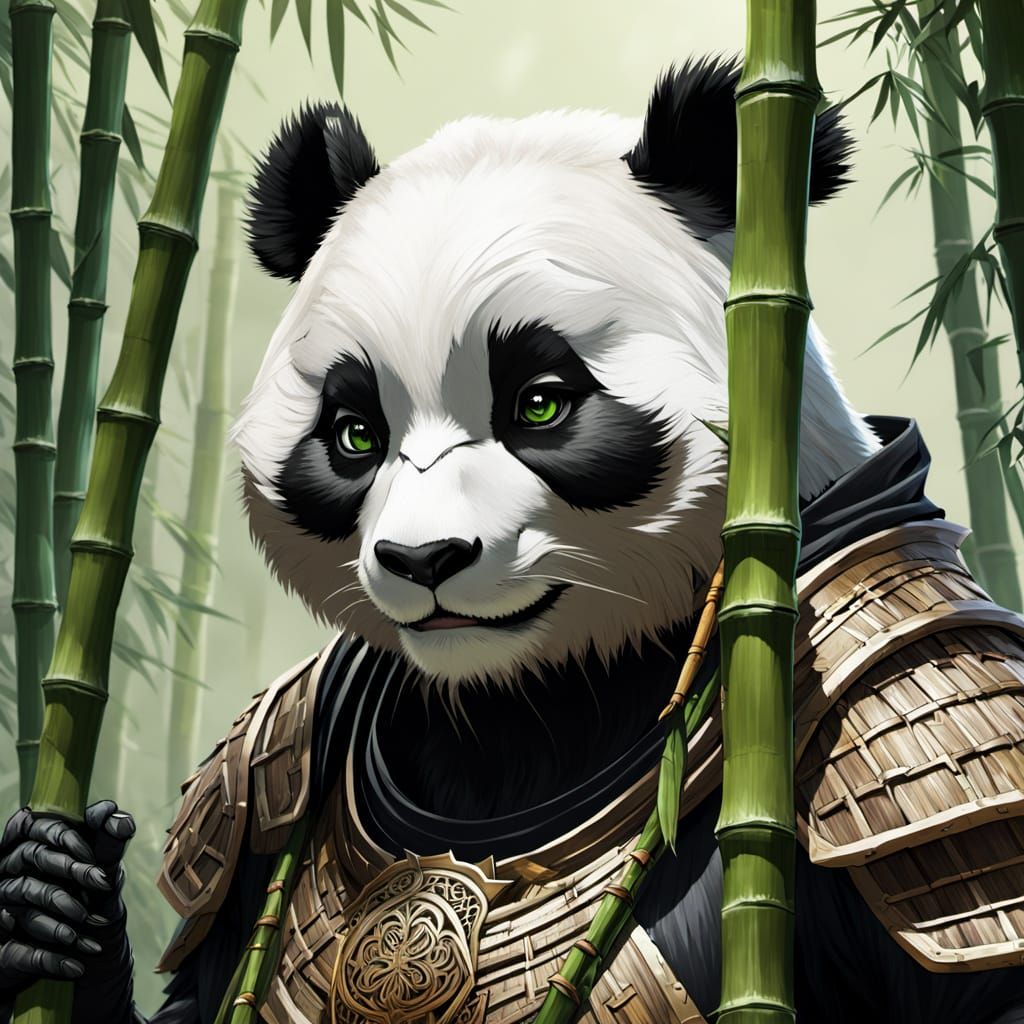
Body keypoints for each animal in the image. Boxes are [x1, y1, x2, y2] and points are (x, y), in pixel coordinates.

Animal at [2, 56, 1024, 1024]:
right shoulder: (264, 775)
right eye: (354, 433)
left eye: (540, 403)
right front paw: (56, 894)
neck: (527, 697)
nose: (422, 561)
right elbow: (193, 992)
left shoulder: (907, 724)